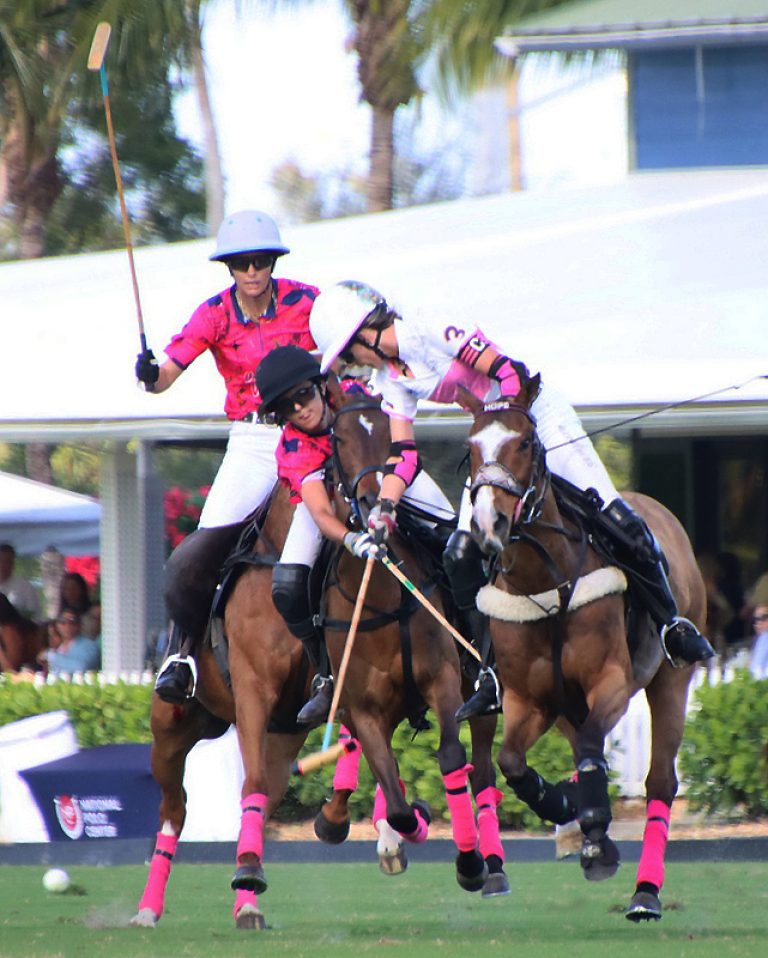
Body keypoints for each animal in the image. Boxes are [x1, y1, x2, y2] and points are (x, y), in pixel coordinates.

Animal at [132, 488, 360, 928]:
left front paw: (335, 818)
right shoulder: (254, 689)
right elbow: (250, 782)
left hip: (280, 737)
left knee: (263, 798)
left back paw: (247, 898)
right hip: (170, 733)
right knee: (175, 809)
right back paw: (148, 909)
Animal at [324, 382, 510, 900]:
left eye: (392, 438)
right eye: (338, 438)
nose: (374, 502)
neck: (382, 594)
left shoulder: (442, 679)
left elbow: (451, 757)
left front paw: (469, 863)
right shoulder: (364, 708)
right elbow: (395, 797)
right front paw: (406, 824)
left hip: (478, 695)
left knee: (483, 770)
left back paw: (493, 865)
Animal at [462, 378, 708, 928]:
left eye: (525, 443)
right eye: (471, 447)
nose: (489, 524)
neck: (546, 582)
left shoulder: (611, 681)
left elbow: (597, 748)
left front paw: (593, 828)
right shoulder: (529, 700)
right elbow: (511, 762)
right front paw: (564, 805)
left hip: (669, 681)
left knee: (660, 782)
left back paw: (645, 893)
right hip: (566, 707)